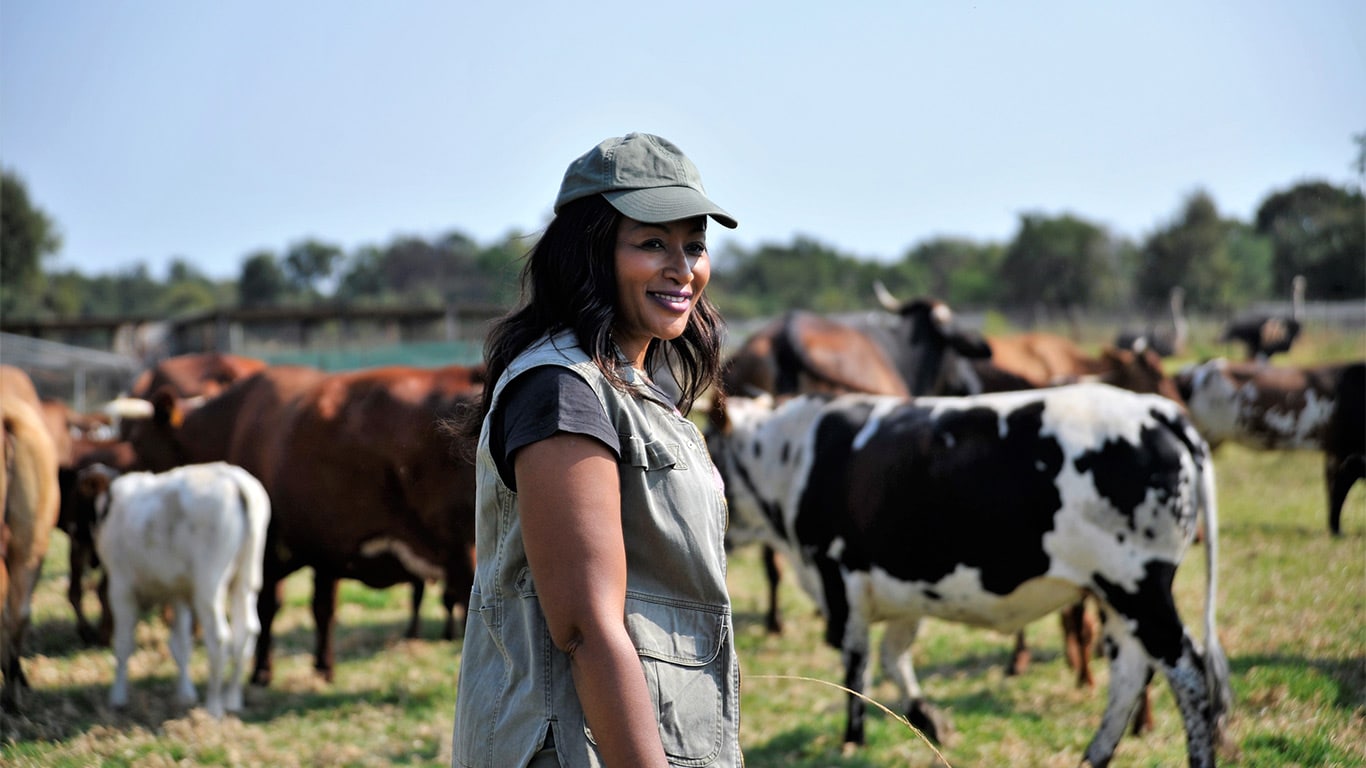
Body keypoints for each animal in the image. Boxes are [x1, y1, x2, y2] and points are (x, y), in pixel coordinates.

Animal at [85, 456, 269, 716]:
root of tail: (237, 482)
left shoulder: (121, 589)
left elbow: (123, 645)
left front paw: (118, 696)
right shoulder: (178, 594)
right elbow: (181, 645)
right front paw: (185, 693)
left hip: (209, 588)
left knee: (220, 638)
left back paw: (214, 705)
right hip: (245, 580)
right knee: (247, 632)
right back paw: (232, 698)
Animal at [124, 360, 486, 683]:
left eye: (138, 441)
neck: (233, 422)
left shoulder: (269, 547)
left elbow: (268, 608)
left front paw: (261, 672)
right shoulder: (328, 547)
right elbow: (323, 609)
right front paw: (323, 668)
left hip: (464, 553)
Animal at [710, 388, 1234, 765]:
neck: (793, 454)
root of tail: (1156, 408)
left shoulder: (840, 575)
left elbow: (856, 663)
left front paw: (852, 739)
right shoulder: (901, 584)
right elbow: (893, 657)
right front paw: (928, 719)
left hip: (1138, 587)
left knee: (1187, 670)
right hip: (1114, 594)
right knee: (1131, 671)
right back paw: (1094, 756)